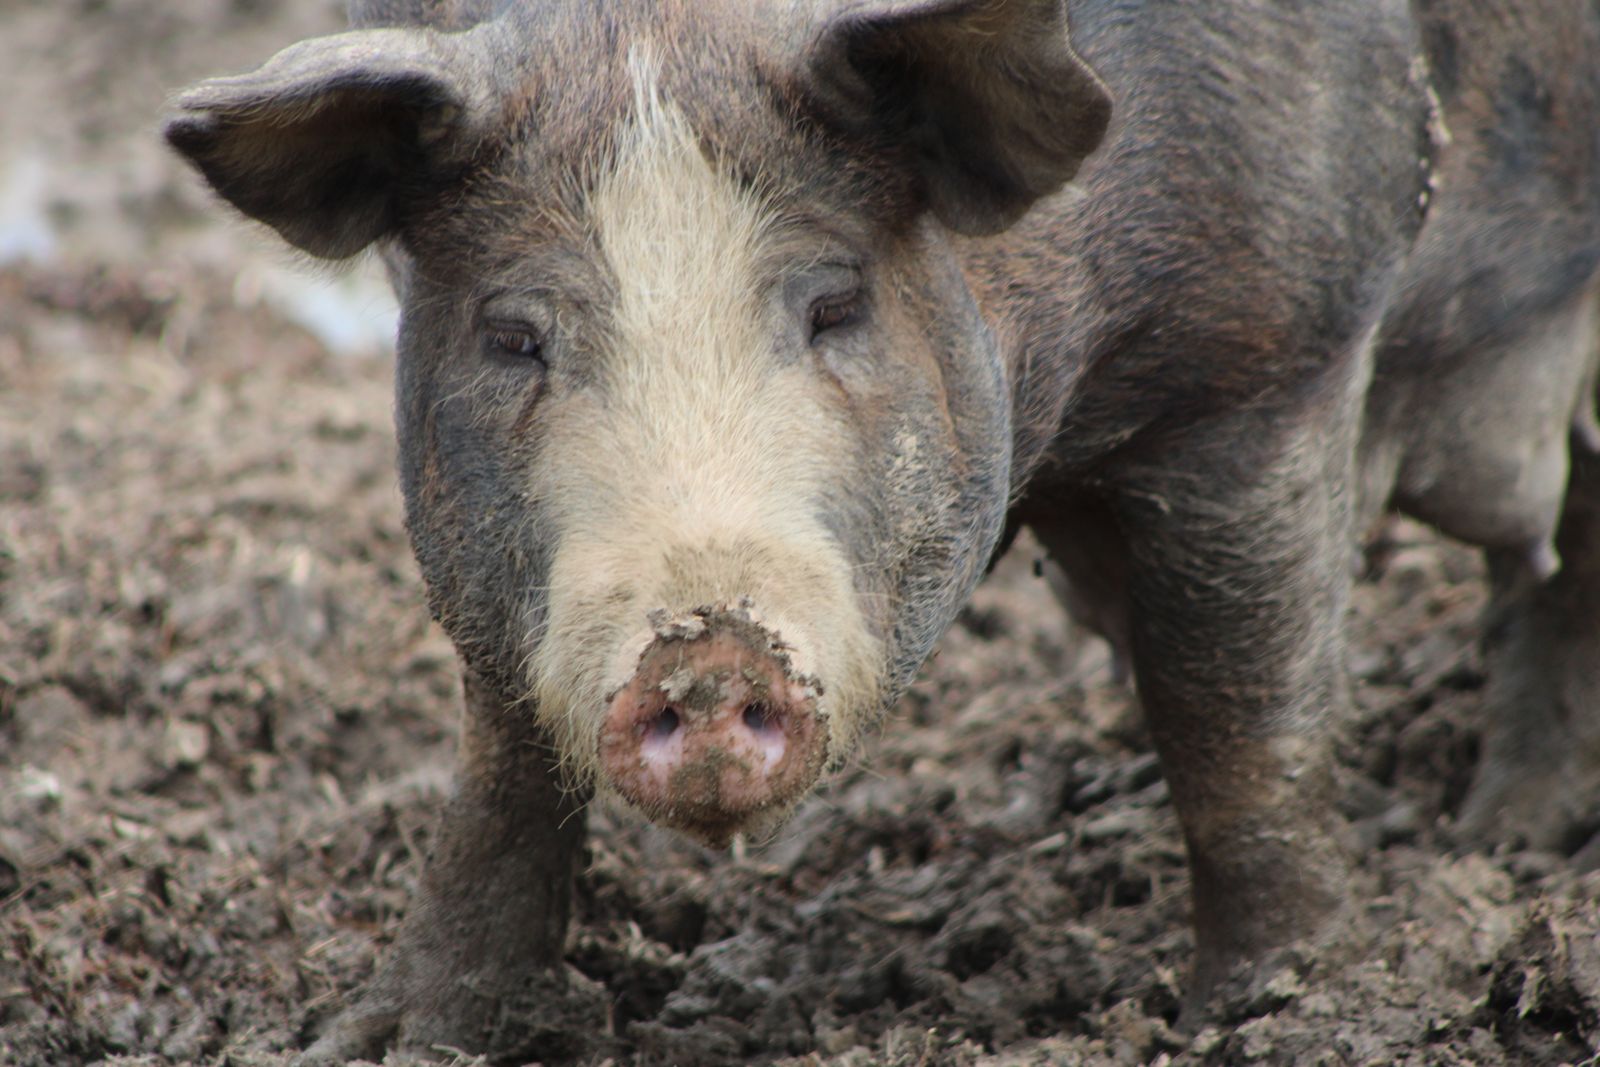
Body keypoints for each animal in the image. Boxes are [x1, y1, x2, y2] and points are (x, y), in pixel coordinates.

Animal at [163, 0, 1600, 1058]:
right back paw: (1514, 831)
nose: (704, 645)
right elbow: (500, 779)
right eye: (516, 336)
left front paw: (1267, 1002)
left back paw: (1504, 842)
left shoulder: (1266, 367)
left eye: (835, 304)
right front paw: (380, 1038)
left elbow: (1239, 718)